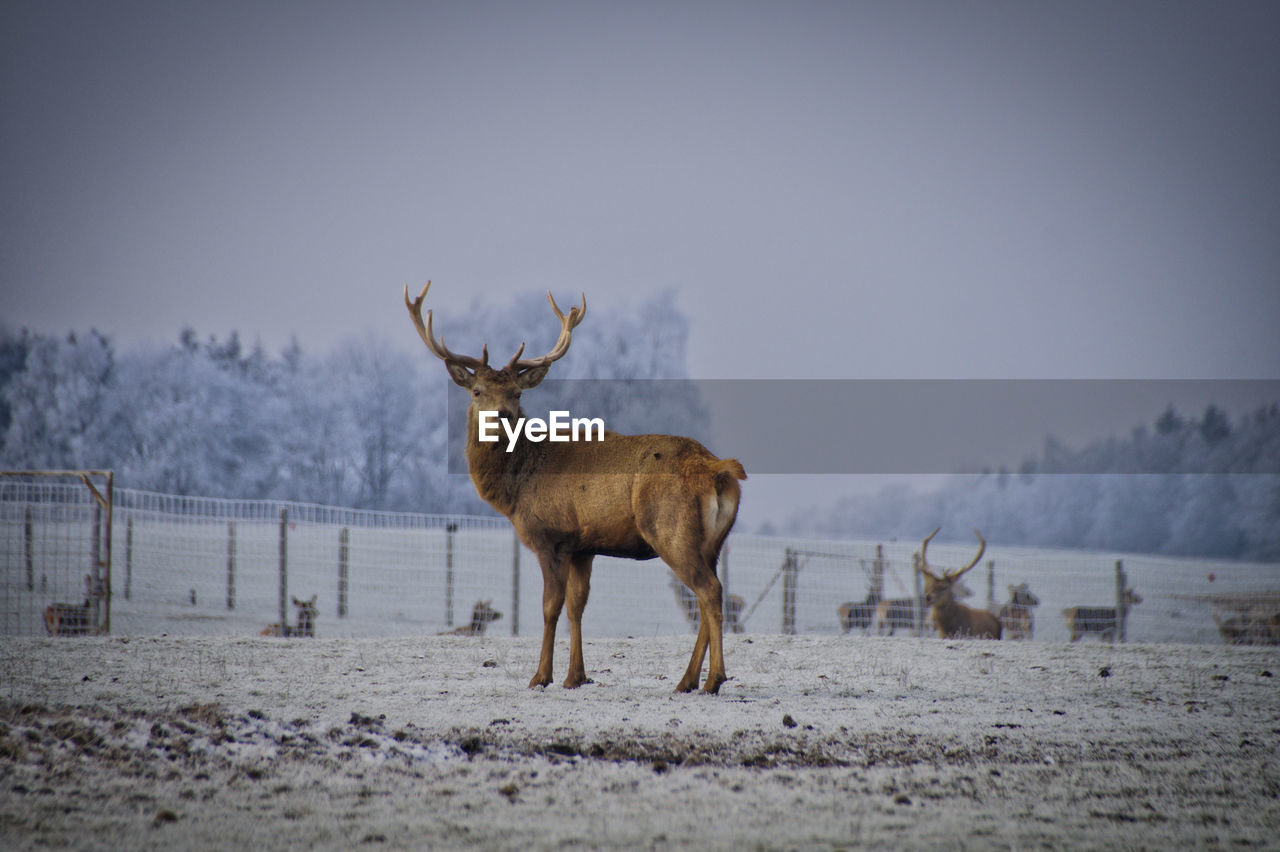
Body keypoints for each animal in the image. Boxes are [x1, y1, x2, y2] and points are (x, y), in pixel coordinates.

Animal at [406, 282, 746, 693]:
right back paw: (687, 680)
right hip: (714, 542)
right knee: (709, 593)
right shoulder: (584, 545)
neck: (516, 490)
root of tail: (718, 470)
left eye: (517, 393)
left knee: (708, 592)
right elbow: (577, 605)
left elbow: (550, 606)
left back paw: (713, 679)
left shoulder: (549, 534)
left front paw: (541, 676)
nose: (503, 415)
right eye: (476, 391)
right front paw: (576, 676)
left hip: (671, 529)